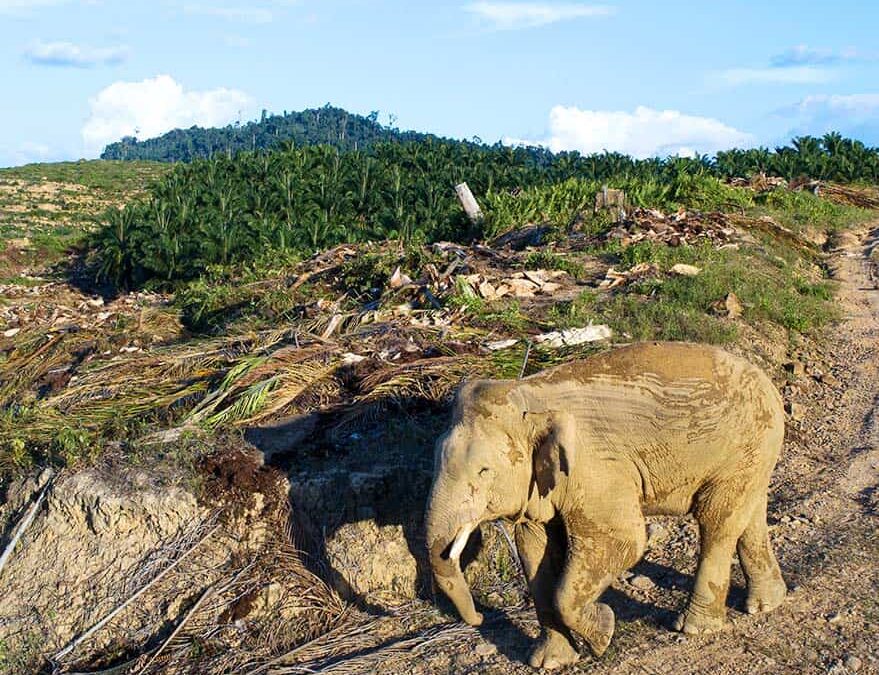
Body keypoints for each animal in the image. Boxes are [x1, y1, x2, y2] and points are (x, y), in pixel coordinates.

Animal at [425, 341, 787, 669]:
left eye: (483, 471)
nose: (480, 617)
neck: (530, 394)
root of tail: (768, 382)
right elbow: (534, 548)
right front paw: (549, 663)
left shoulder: (596, 469)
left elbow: (623, 540)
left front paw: (604, 632)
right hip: (752, 454)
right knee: (748, 515)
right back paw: (765, 605)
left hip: (742, 447)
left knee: (715, 521)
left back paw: (694, 628)